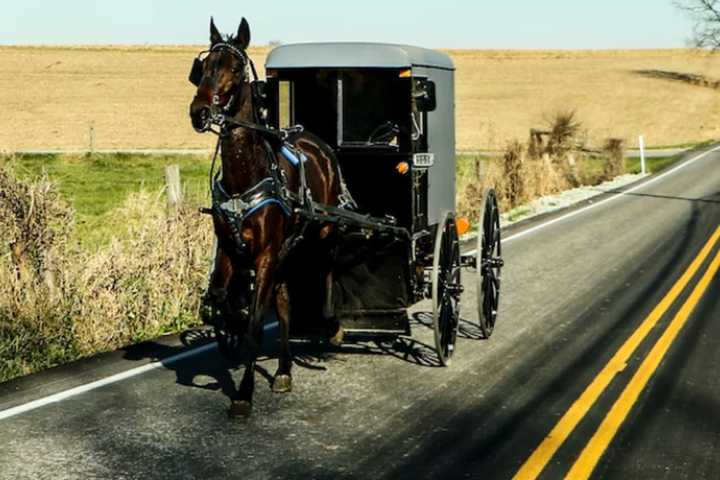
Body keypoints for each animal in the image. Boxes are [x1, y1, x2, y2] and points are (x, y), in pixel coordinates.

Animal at [188, 17, 346, 416]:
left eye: (235, 68)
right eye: (204, 66)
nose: (199, 112)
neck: (247, 174)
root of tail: (315, 142)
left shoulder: (265, 255)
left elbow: (257, 323)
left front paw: (243, 393)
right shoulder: (230, 247)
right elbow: (221, 297)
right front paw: (228, 323)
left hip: (323, 230)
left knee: (327, 267)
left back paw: (332, 324)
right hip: (287, 251)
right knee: (286, 300)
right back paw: (285, 369)